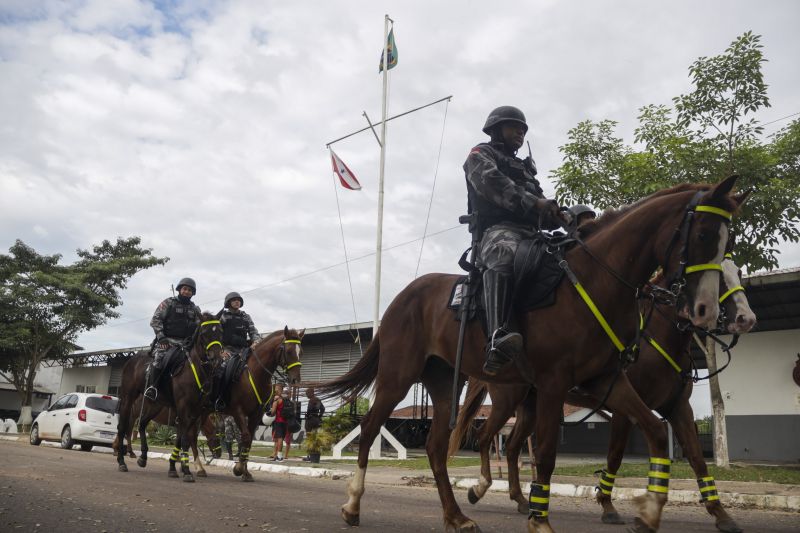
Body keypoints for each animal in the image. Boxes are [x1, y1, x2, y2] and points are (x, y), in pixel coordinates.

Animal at [114, 312, 223, 482]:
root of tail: (132, 360)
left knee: (142, 424)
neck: (194, 369)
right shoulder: (184, 408)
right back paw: (121, 461)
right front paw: (186, 470)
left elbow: (182, 438)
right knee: (123, 428)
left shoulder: (193, 411)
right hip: (128, 399)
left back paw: (143, 457)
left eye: (220, 332)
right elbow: (185, 439)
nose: (217, 359)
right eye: (205, 333)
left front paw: (174, 467)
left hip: (155, 405)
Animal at [208, 324, 304, 482]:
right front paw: (239, 468)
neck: (255, 374)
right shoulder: (238, 412)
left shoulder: (256, 414)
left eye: (300, 352)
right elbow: (246, 437)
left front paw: (245, 472)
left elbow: (248, 442)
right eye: (289, 351)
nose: (296, 380)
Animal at [450, 256, 756, 528]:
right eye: (715, 275)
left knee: (512, 447)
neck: (658, 336)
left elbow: (697, 459)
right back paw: (480, 488)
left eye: (739, 272)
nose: (746, 318)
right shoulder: (625, 409)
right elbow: (615, 456)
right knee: (485, 435)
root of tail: (495, 341)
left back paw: (519, 499)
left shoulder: (678, 407)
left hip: (531, 407)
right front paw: (608, 506)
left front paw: (721, 514)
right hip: (507, 401)